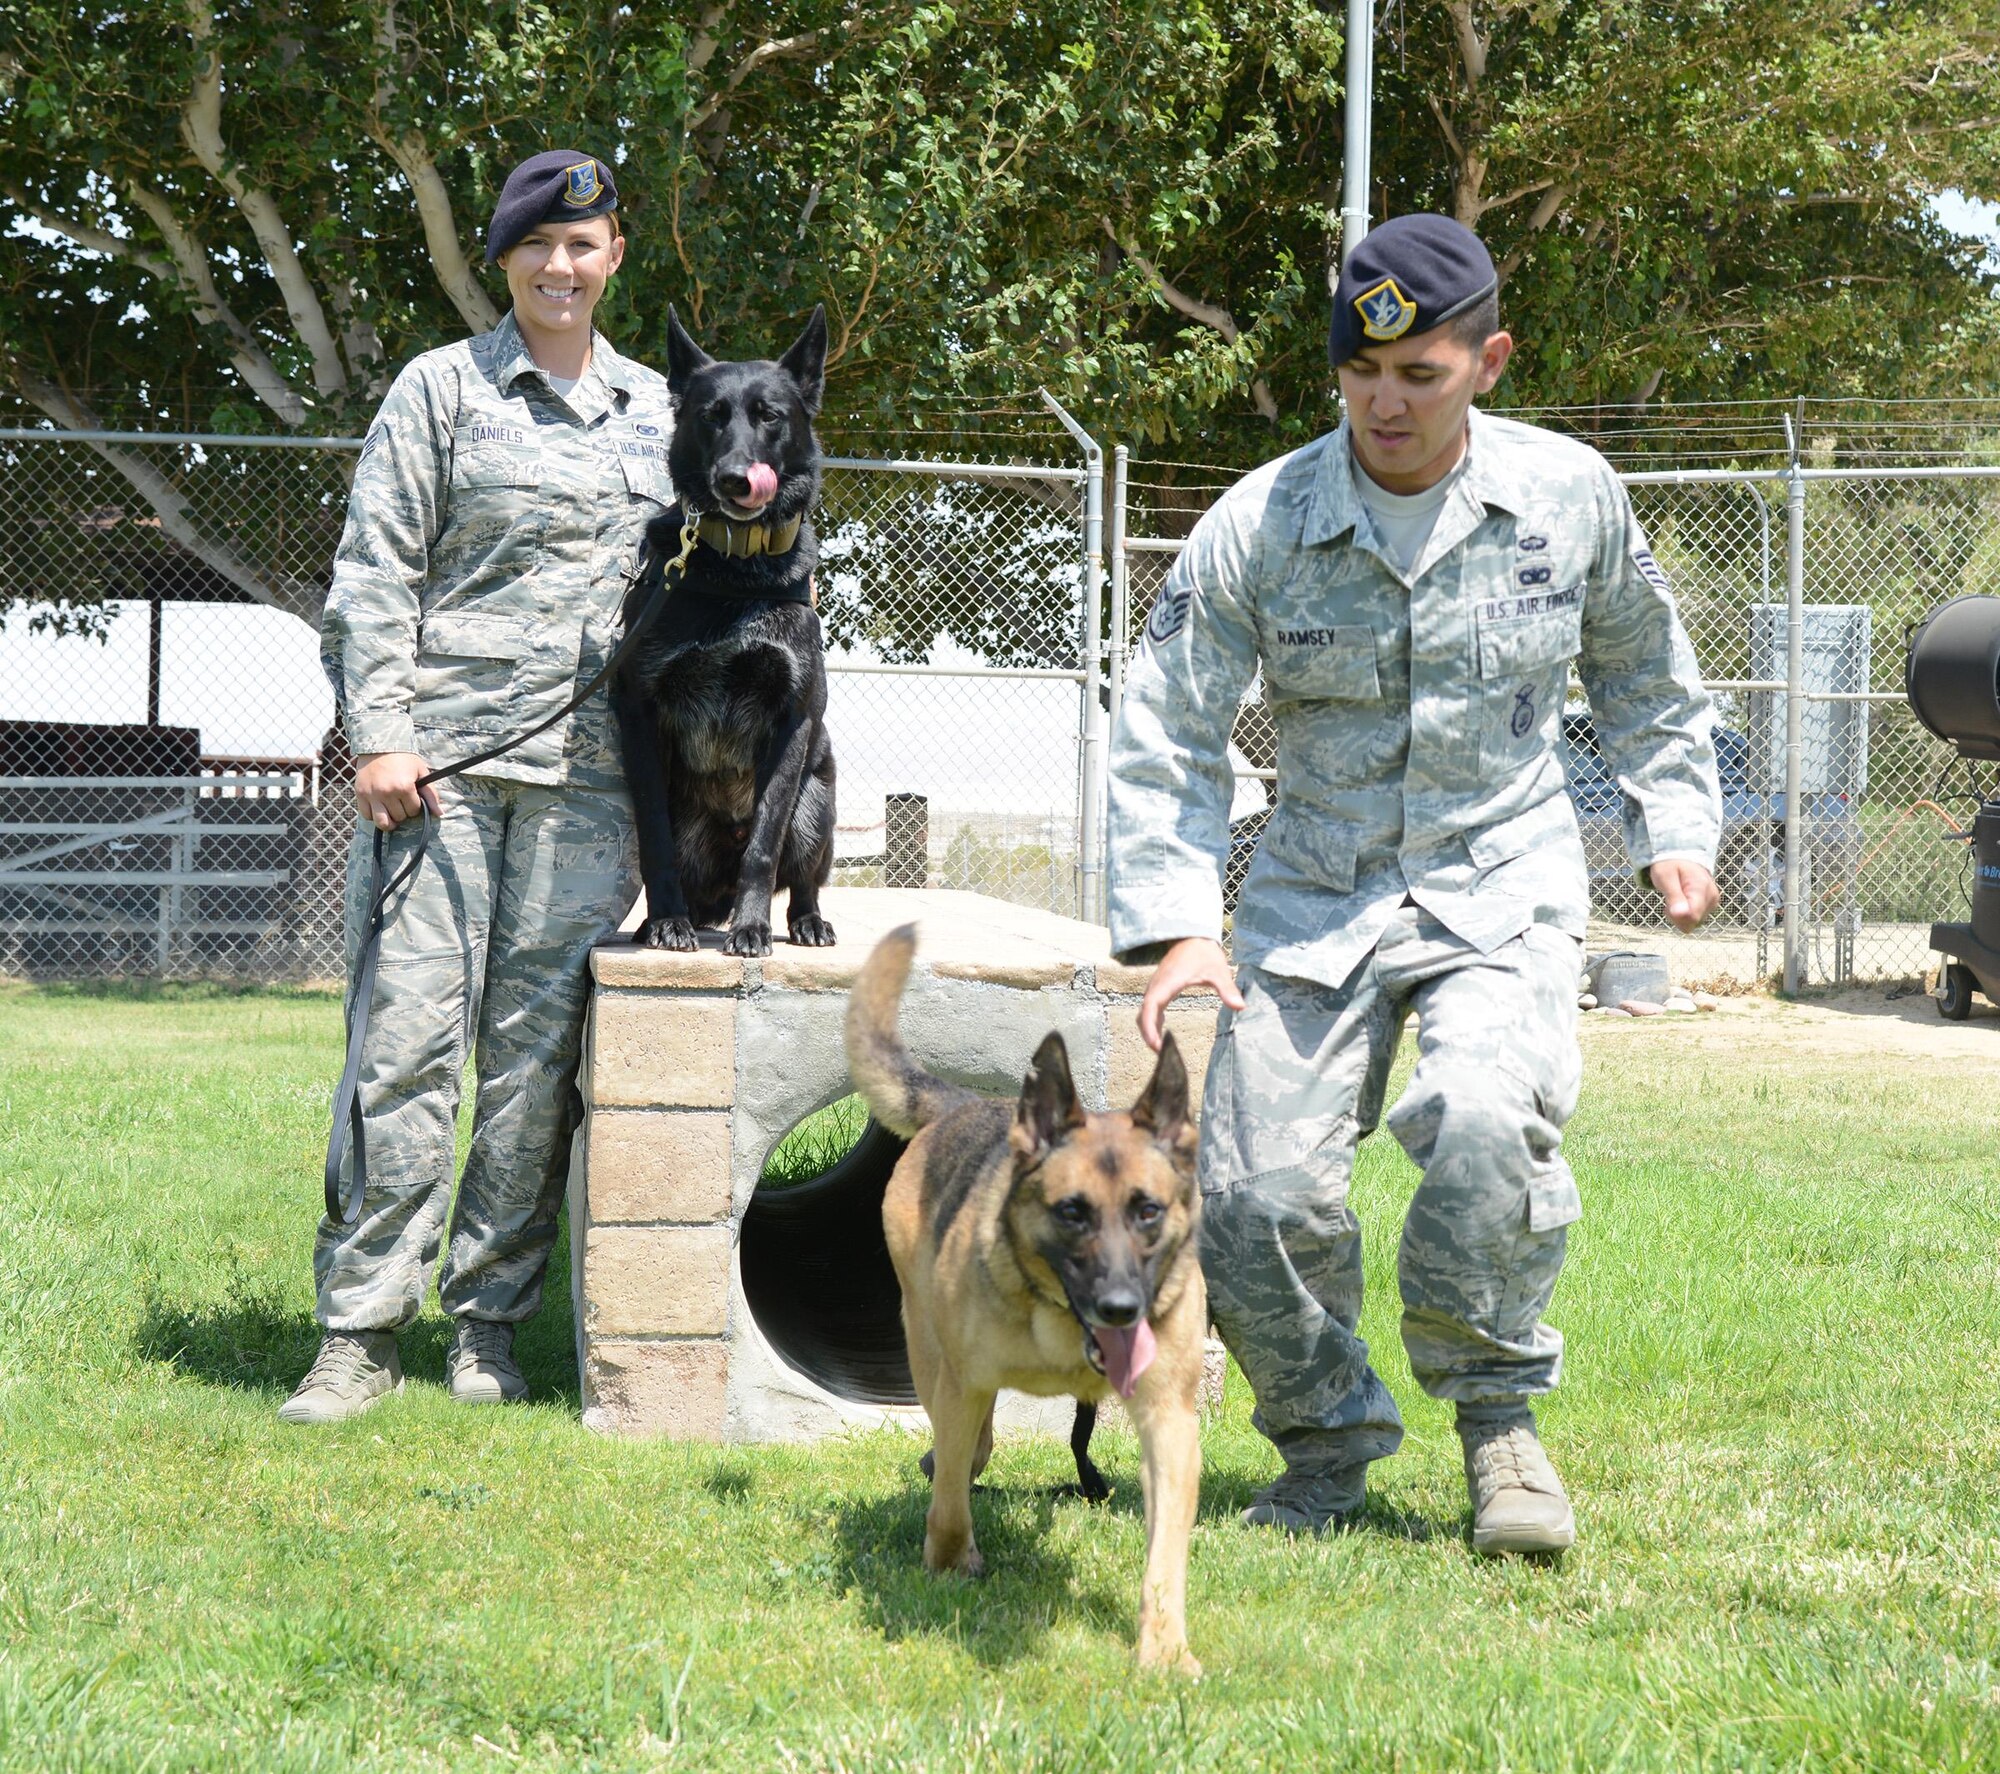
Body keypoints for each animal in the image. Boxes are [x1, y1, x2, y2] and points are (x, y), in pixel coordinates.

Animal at [604, 312, 832, 964]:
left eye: (770, 415)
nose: (734, 479)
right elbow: (655, 840)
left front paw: (753, 930)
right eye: (711, 416)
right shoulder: (641, 713)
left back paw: (806, 922)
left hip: (818, 801)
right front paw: (665, 923)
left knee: (803, 877)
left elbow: (764, 845)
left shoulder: (793, 721)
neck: (734, 569)